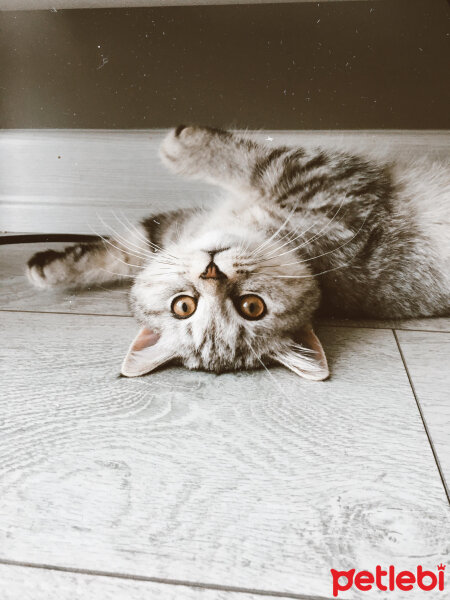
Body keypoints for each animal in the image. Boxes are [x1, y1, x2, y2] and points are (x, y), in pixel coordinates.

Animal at [27, 125, 450, 380]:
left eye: (251, 307)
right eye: (184, 306)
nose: (212, 272)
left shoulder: (337, 193)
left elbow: (263, 163)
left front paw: (184, 146)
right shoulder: (175, 231)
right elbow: (125, 250)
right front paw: (48, 269)